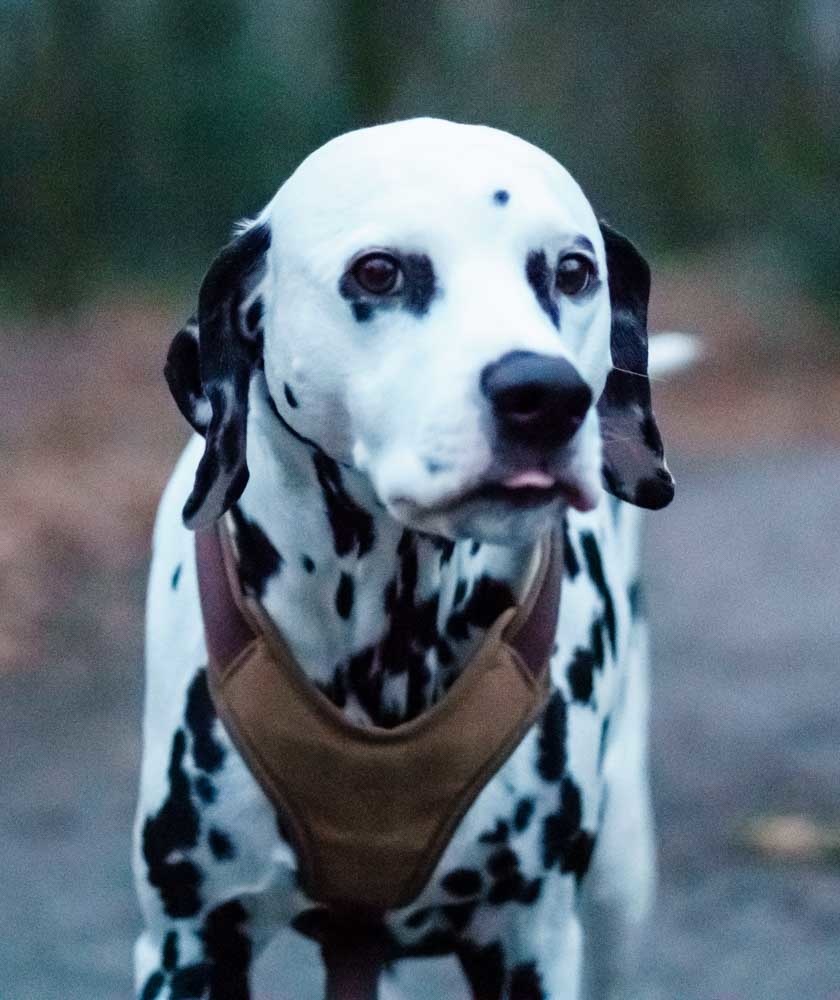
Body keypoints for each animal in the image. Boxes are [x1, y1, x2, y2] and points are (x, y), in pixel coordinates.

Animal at [134, 118, 677, 1000]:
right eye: (379, 271)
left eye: (573, 271)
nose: (546, 396)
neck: (386, 636)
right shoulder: (187, 945)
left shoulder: (528, 943)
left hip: (621, 883)